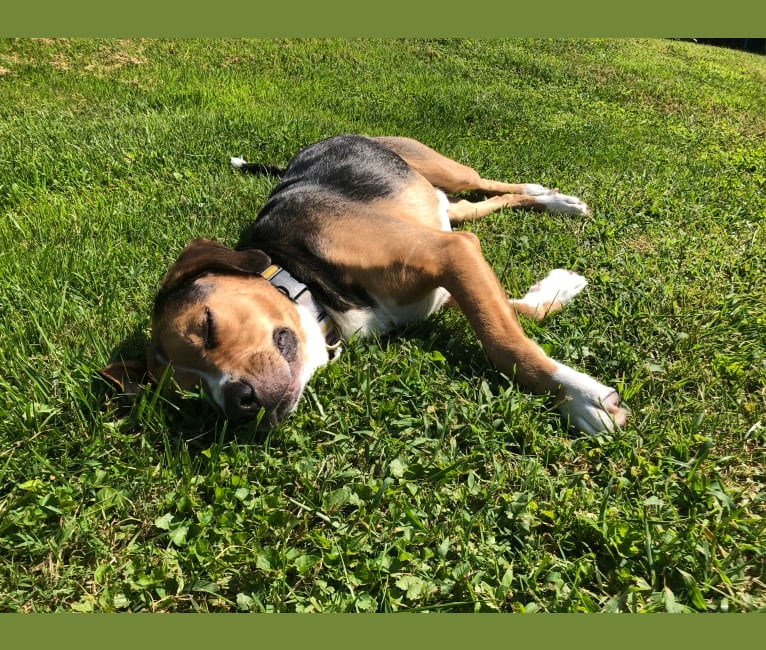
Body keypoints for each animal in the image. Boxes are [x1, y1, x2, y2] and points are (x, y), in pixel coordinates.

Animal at [100, 134, 632, 432]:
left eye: (207, 325)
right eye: (192, 395)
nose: (238, 404)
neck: (309, 282)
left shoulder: (453, 255)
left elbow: (503, 343)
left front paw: (579, 398)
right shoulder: (450, 279)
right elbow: (517, 314)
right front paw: (558, 288)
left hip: (444, 169)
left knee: (491, 185)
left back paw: (555, 199)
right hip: (446, 208)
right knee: (478, 206)